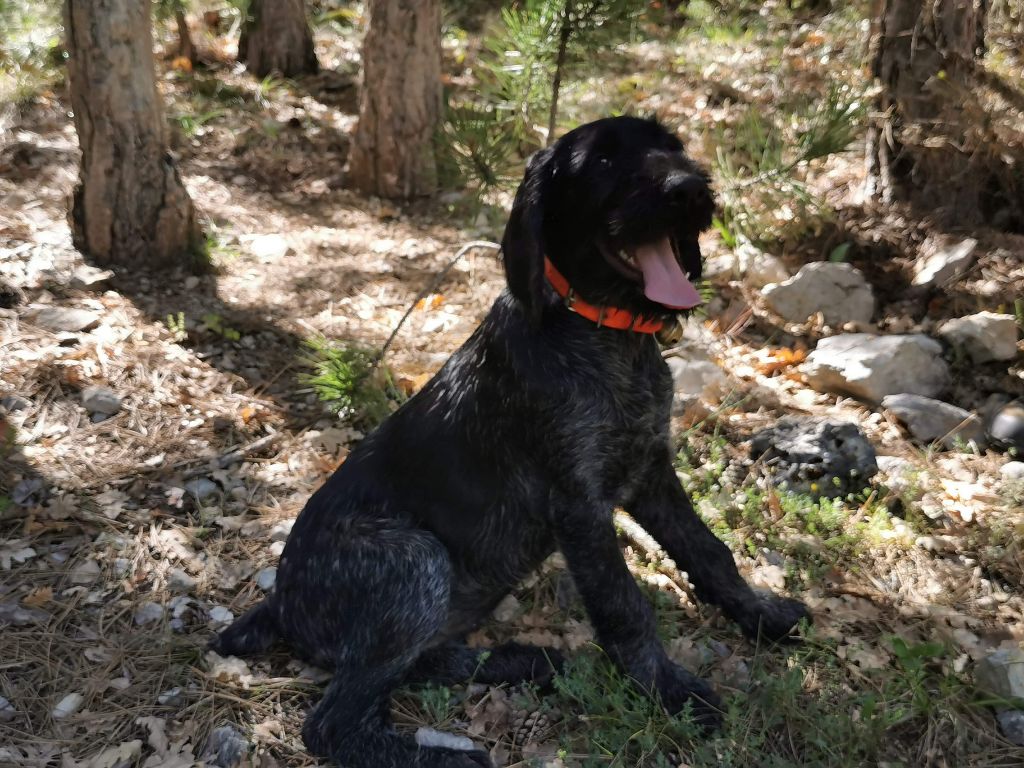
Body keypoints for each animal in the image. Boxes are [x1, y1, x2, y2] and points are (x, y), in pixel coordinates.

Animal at [216, 117, 806, 765]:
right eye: (602, 161)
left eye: (671, 144)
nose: (689, 187)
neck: (605, 335)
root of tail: (280, 605)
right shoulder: (578, 503)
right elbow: (625, 606)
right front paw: (669, 689)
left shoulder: (650, 470)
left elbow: (710, 551)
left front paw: (760, 613)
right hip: (413, 560)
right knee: (333, 724)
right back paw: (449, 754)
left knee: (415, 666)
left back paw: (521, 661)